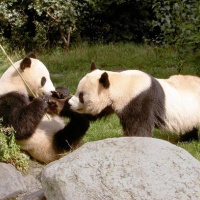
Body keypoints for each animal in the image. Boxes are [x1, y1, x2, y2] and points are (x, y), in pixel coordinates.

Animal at [69, 61, 200, 141]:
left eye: (81, 96)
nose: (71, 103)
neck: (120, 83)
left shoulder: (141, 99)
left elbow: (139, 125)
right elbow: (96, 113)